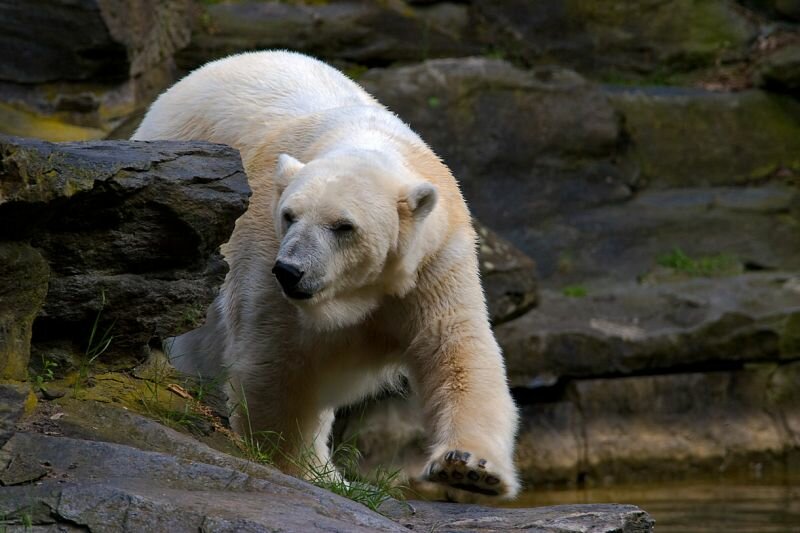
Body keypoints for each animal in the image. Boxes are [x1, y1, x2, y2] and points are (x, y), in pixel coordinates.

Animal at [131, 50, 520, 498]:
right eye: (289, 215)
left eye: (343, 226)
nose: (290, 271)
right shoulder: (264, 250)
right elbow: (277, 364)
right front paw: (298, 468)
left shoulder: (433, 261)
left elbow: (455, 347)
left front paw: (470, 468)